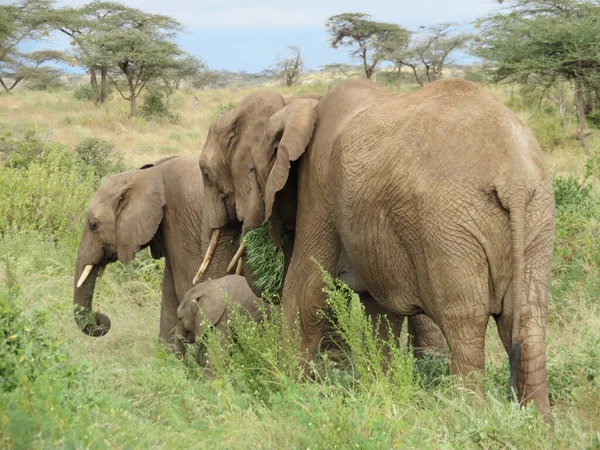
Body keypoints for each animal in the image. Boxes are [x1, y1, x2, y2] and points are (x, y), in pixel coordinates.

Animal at [74, 156, 243, 346]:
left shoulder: (180, 219)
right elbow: (169, 288)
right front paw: (166, 352)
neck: (144, 175)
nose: (100, 317)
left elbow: (185, 286)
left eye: (93, 225)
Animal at [196, 79, 552, 420]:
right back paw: (538, 422)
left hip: (450, 224)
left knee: (465, 323)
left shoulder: (318, 187)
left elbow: (304, 292)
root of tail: (513, 180)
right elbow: (379, 312)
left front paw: (289, 394)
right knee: (527, 321)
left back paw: (471, 418)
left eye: (206, 174)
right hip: (537, 216)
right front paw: (380, 391)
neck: (299, 103)